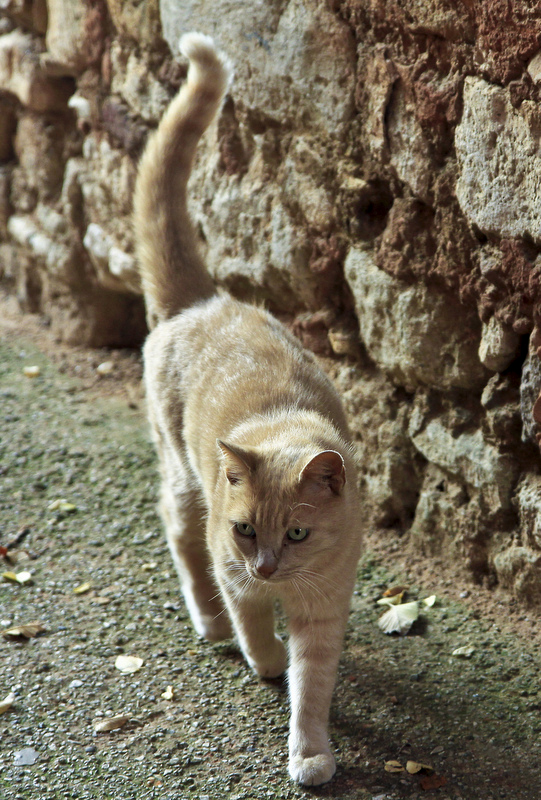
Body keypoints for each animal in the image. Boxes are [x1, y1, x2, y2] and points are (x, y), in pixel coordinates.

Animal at [131, 32, 360, 788]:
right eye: (245, 530)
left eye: (297, 534)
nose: (264, 567)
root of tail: (206, 299)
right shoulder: (229, 562)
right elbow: (255, 626)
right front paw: (262, 659)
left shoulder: (326, 609)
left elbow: (311, 685)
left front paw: (310, 750)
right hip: (180, 476)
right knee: (177, 531)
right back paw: (208, 623)